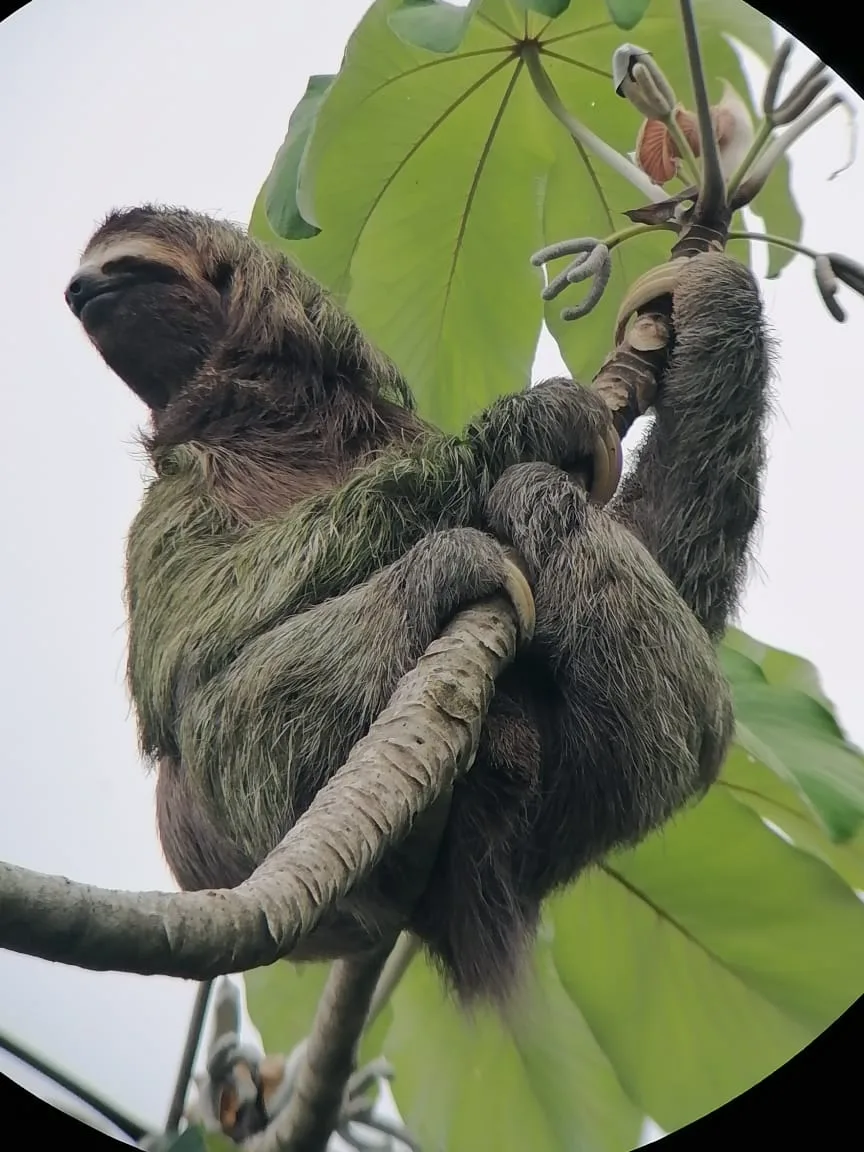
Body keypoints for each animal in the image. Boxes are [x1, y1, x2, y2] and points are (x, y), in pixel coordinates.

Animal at [66, 205, 769, 1003]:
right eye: (91, 270)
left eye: (124, 264)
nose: (77, 289)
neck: (274, 424)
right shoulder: (175, 496)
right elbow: (186, 639)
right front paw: (514, 431)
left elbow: (674, 569)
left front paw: (708, 295)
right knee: (229, 721)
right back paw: (445, 569)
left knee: (680, 712)